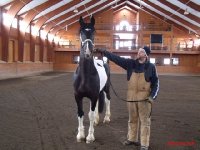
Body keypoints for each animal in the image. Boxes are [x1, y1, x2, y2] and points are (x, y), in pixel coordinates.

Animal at [73, 15, 111, 144]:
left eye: (94, 32)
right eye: (81, 32)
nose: (88, 52)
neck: (85, 76)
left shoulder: (93, 96)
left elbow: (91, 114)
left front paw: (90, 137)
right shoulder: (78, 96)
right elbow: (81, 113)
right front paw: (80, 135)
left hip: (107, 89)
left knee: (107, 101)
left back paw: (106, 118)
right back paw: (97, 121)